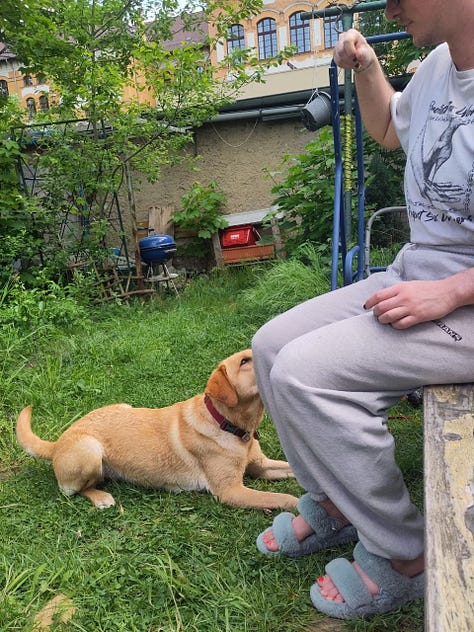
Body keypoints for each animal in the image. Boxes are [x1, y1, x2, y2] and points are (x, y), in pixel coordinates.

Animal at [17, 348, 296, 512]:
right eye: (244, 361)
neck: (226, 423)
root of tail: (58, 442)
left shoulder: (261, 466)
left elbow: (292, 469)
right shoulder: (230, 491)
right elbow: (280, 498)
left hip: (122, 407)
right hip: (90, 450)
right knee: (72, 491)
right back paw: (101, 498)